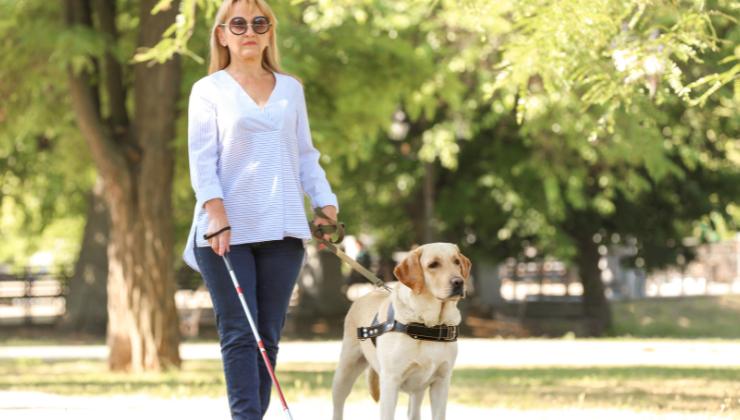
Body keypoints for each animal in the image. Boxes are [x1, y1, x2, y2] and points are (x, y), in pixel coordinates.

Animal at [332, 241, 472, 418]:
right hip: (345, 372)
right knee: (338, 405)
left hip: (418, 390)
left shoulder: (442, 381)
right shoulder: (390, 381)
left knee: (413, 413)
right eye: (433, 265)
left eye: (456, 262)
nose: (459, 282)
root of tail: (366, 294)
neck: (428, 326)